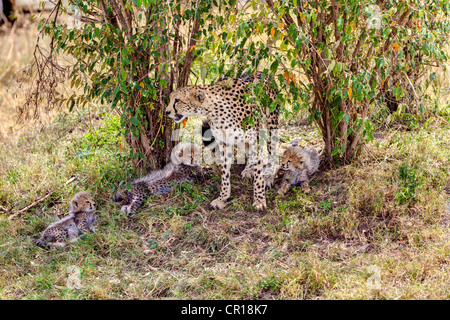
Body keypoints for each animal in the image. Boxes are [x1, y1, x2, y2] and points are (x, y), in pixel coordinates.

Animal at [163, 72, 280, 210]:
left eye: (177, 100)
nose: (167, 111)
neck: (214, 110)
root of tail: (262, 72)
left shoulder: (254, 139)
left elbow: (259, 174)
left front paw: (259, 199)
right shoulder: (225, 142)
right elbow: (225, 172)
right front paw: (223, 197)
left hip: (271, 122)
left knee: (273, 149)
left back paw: (269, 174)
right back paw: (248, 169)